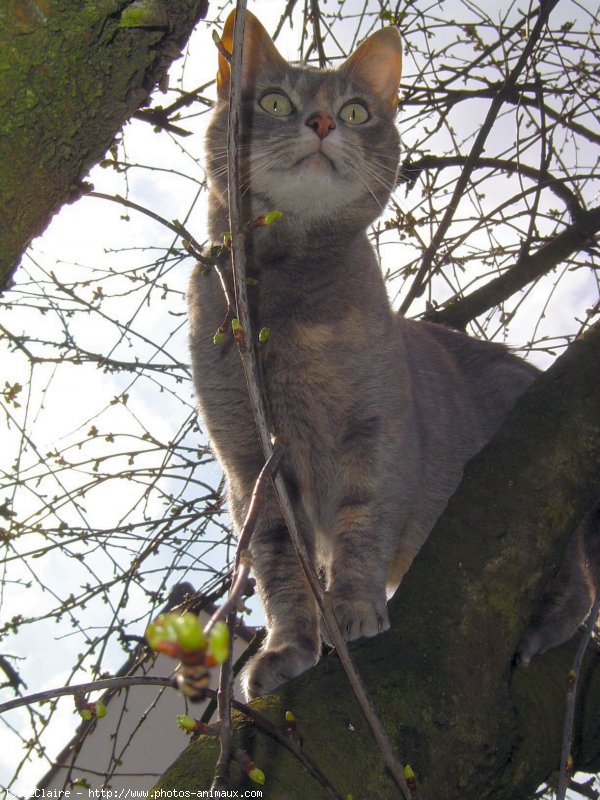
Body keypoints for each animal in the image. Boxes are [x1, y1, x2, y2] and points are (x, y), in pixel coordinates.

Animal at [189, 12, 600, 700]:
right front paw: (289, 648)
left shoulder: (376, 429)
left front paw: (354, 609)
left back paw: (537, 633)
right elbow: (279, 565)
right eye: (274, 102)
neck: (289, 304)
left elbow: (363, 522)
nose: (321, 122)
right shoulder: (251, 466)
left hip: (545, 499)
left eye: (355, 111)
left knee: (575, 586)